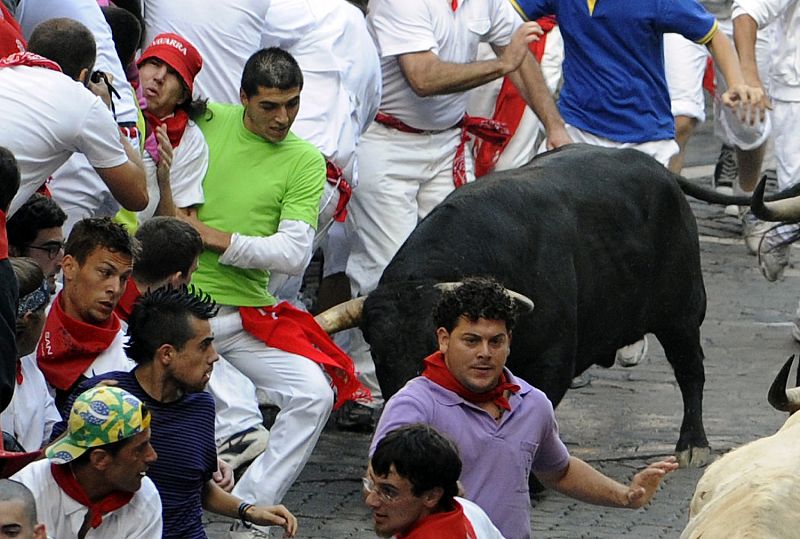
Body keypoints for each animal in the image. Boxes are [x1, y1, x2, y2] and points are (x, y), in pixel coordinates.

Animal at [360, 144, 708, 468]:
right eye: (376, 352)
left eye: (435, 348)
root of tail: (659, 170)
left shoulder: (552, 360)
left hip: (682, 315)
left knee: (690, 371)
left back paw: (693, 445)